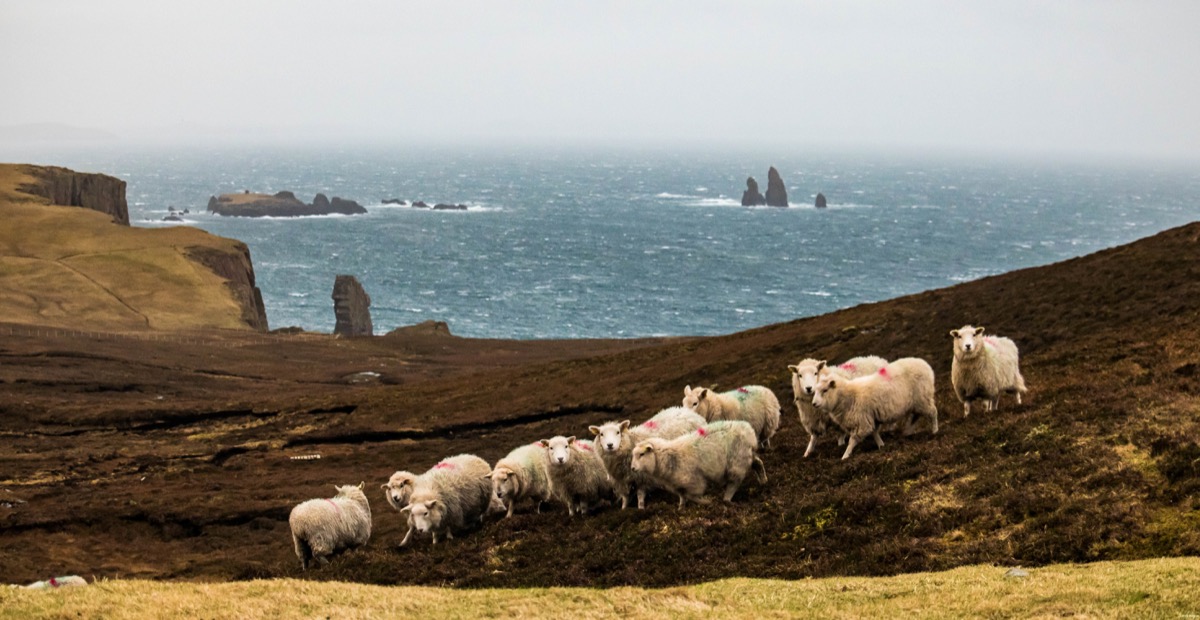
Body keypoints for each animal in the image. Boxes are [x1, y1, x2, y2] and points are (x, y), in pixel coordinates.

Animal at [633, 417, 763, 506]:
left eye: (642, 454)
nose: (633, 468)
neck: (670, 457)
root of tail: (749, 430)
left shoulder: (694, 481)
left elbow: (692, 496)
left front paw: (706, 502)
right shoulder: (677, 484)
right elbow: (682, 496)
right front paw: (681, 508)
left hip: (736, 461)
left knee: (734, 483)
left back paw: (727, 499)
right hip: (746, 455)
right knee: (758, 463)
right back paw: (764, 480)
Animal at [811, 357, 940, 458]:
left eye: (825, 390)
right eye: (815, 391)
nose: (814, 404)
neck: (848, 396)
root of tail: (924, 364)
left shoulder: (862, 422)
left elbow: (852, 441)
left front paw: (845, 456)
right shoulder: (869, 418)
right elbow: (874, 433)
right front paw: (881, 445)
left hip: (923, 397)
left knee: (933, 412)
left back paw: (935, 431)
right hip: (917, 402)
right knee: (915, 416)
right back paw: (907, 432)